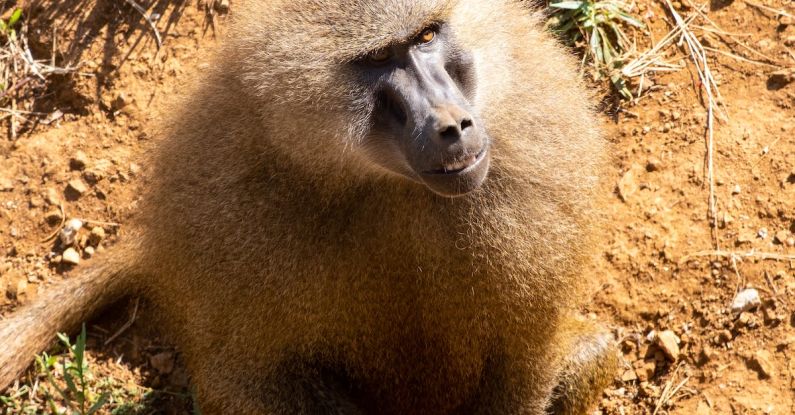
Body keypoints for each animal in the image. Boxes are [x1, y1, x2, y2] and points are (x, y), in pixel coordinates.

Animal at [0, 0, 618, 413]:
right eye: (377, 58)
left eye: (426, 36)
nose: (453, 126)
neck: (389, 187)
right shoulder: (231, 215)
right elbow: (254, 377)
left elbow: (524, 361)